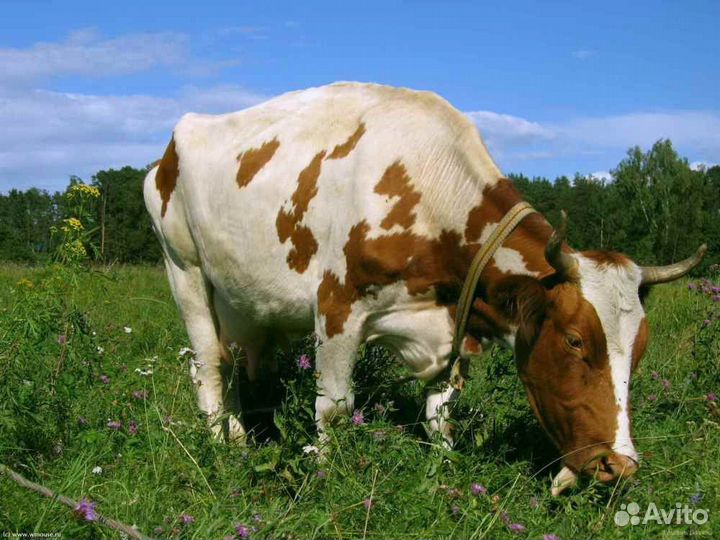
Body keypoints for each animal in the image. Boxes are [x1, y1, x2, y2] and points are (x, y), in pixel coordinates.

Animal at [143, 82, 705, 494]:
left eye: (641, 348)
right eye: (574, 340)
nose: (620, 466)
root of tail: (168, 150)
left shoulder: (452, 323)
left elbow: (441, 411)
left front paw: (445, 472)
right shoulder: (337, 305)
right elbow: (334, 406)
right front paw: (326, 478)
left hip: (247, 304)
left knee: (240, 365)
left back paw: (243, 438)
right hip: (184, 270)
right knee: (208, 365)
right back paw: (221, 447)